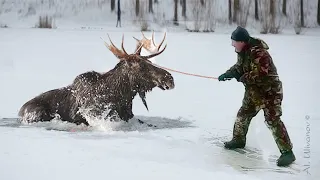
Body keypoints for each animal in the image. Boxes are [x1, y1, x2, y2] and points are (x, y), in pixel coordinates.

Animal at [18, 33, 175, 127]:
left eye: (149, 62)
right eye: (141, 65)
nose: (170, 78)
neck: (120, 96)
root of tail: (19, 112)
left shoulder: (129, 115)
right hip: (37, 113)